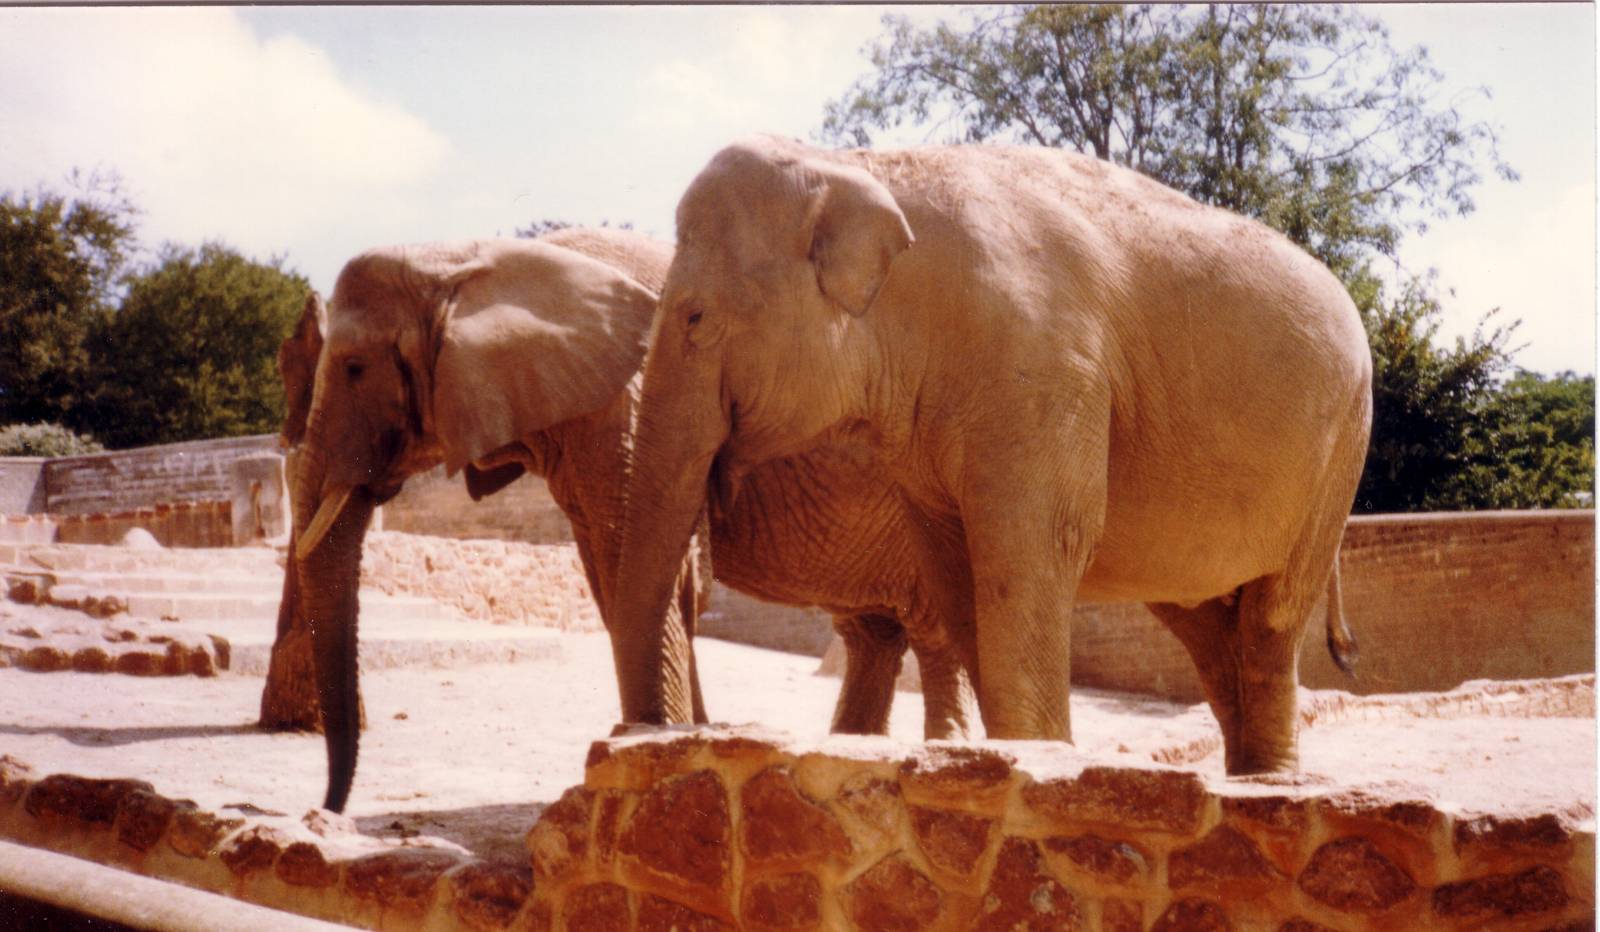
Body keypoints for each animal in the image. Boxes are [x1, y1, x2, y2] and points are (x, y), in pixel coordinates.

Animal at [275, 227, 974, 812]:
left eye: (355, 368)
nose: (326, 811)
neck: (476, 256)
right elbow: (617, 585)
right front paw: (679, 741)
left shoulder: (629, 404)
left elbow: (642, 577)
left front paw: (656, 753)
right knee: (872, 633)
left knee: (932, 629)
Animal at [608, 136, 1372, 776]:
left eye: (695, 318)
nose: (631, 736)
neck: (866, 164)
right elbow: (956, 576)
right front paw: (1016, 758)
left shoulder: (1044, 375)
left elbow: (1029, 553)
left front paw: (1037, 765)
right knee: (1204, 625)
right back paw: (1246, 774)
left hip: (1341, 449)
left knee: (1271, 619)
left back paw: (1271, 782)